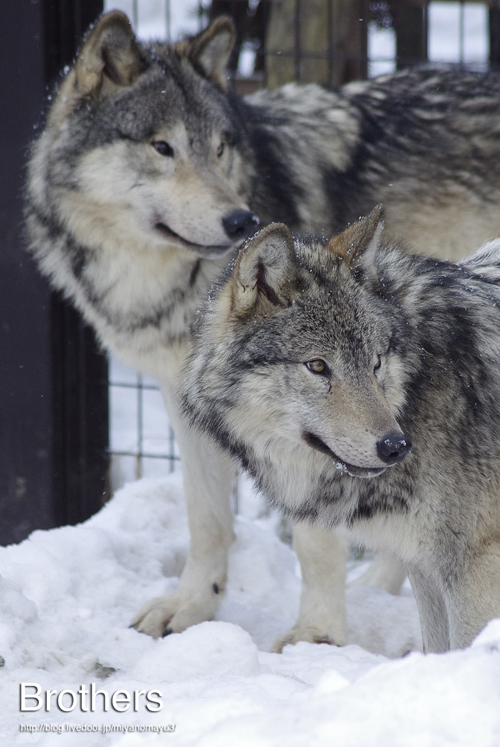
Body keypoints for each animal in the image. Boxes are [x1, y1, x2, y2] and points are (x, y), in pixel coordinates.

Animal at [184, 207, 500, 652]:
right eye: (317, 365)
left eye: (375, 362)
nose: (395, 446)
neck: (424, 384)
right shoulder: (426, 567)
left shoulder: (474, 568)